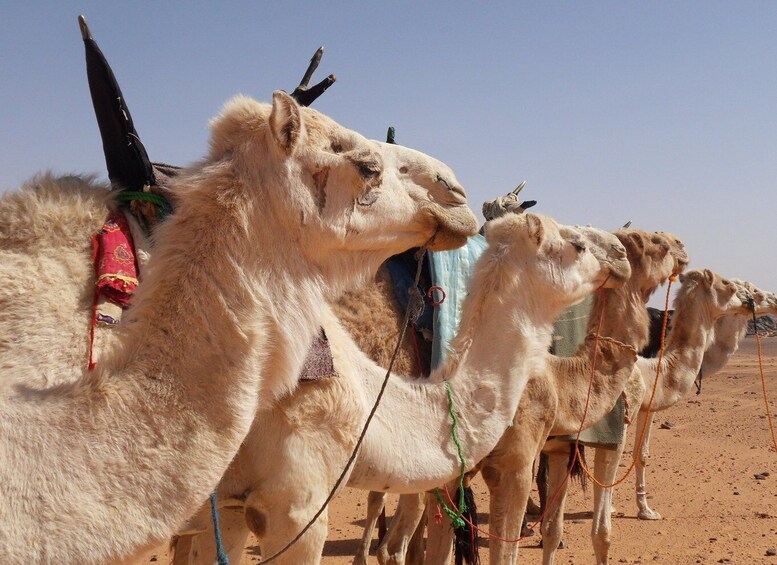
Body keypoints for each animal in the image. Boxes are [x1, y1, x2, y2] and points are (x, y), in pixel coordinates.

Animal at [540, 268, 752, 564]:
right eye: (729, 285)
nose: (749, 301)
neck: (652, 371)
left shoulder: (565, 445)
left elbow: (554, 527)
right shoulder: (617, 430)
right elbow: (602, 528)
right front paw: (642, 511)